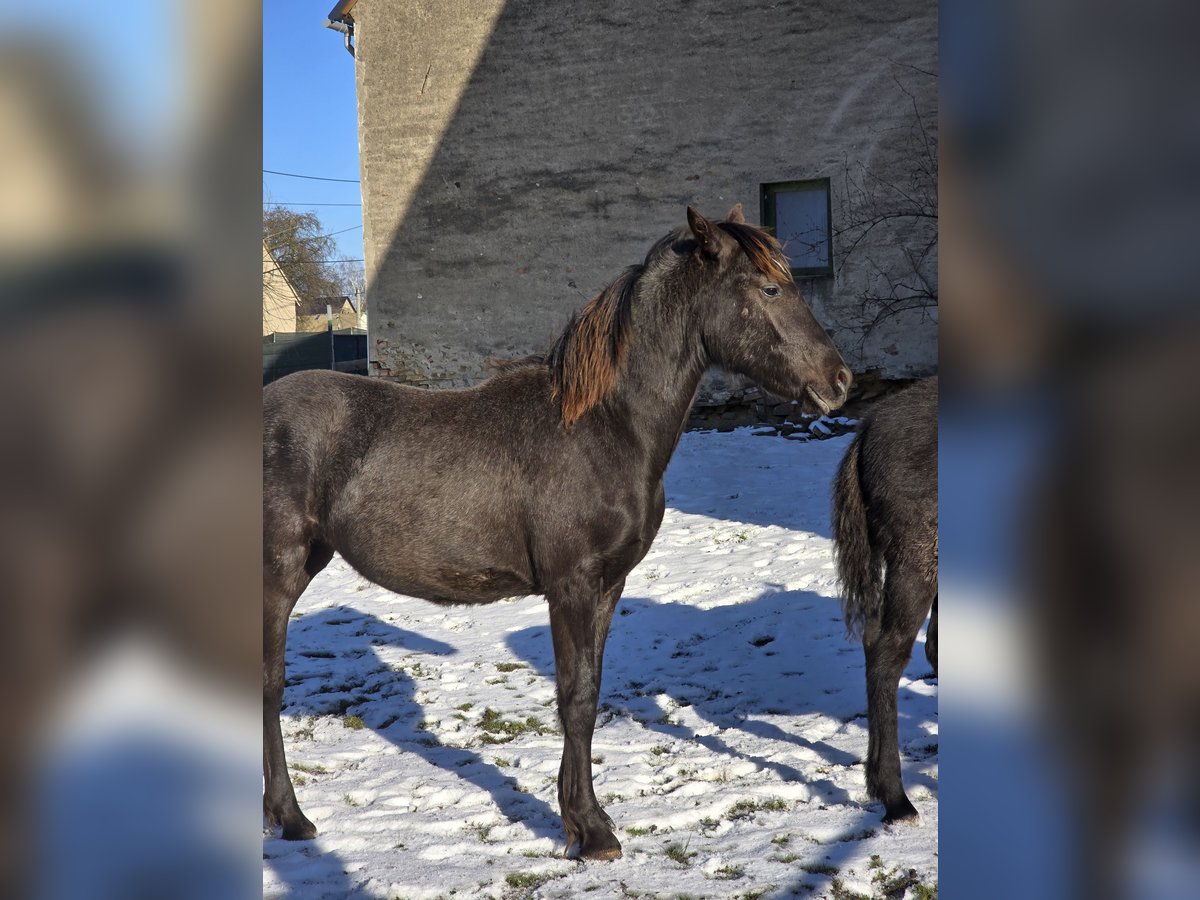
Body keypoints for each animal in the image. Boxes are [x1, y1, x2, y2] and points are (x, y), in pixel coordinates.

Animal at [262, 204, 849, 859]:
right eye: (769, 288)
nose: (839, 380)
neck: (603, 427)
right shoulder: (571, 586)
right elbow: (575, 698)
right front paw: (590, 833)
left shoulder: (608, 586)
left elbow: (588, 692)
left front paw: (583, 818)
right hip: (276, 576)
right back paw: (292, 818)